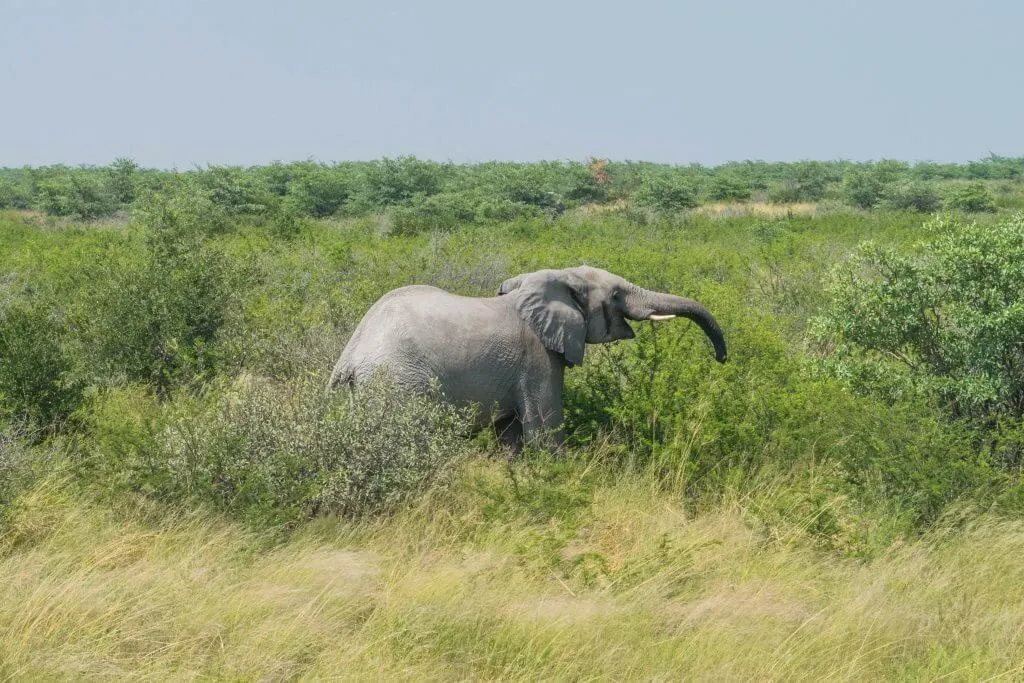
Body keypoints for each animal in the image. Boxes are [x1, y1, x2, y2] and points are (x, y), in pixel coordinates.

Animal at [329, 266, 727, 452]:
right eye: (615, 295)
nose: (722, 358)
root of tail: (349, 355)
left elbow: (511, 435)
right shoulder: (536, 356)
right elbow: (544, 429)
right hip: (399, 381)